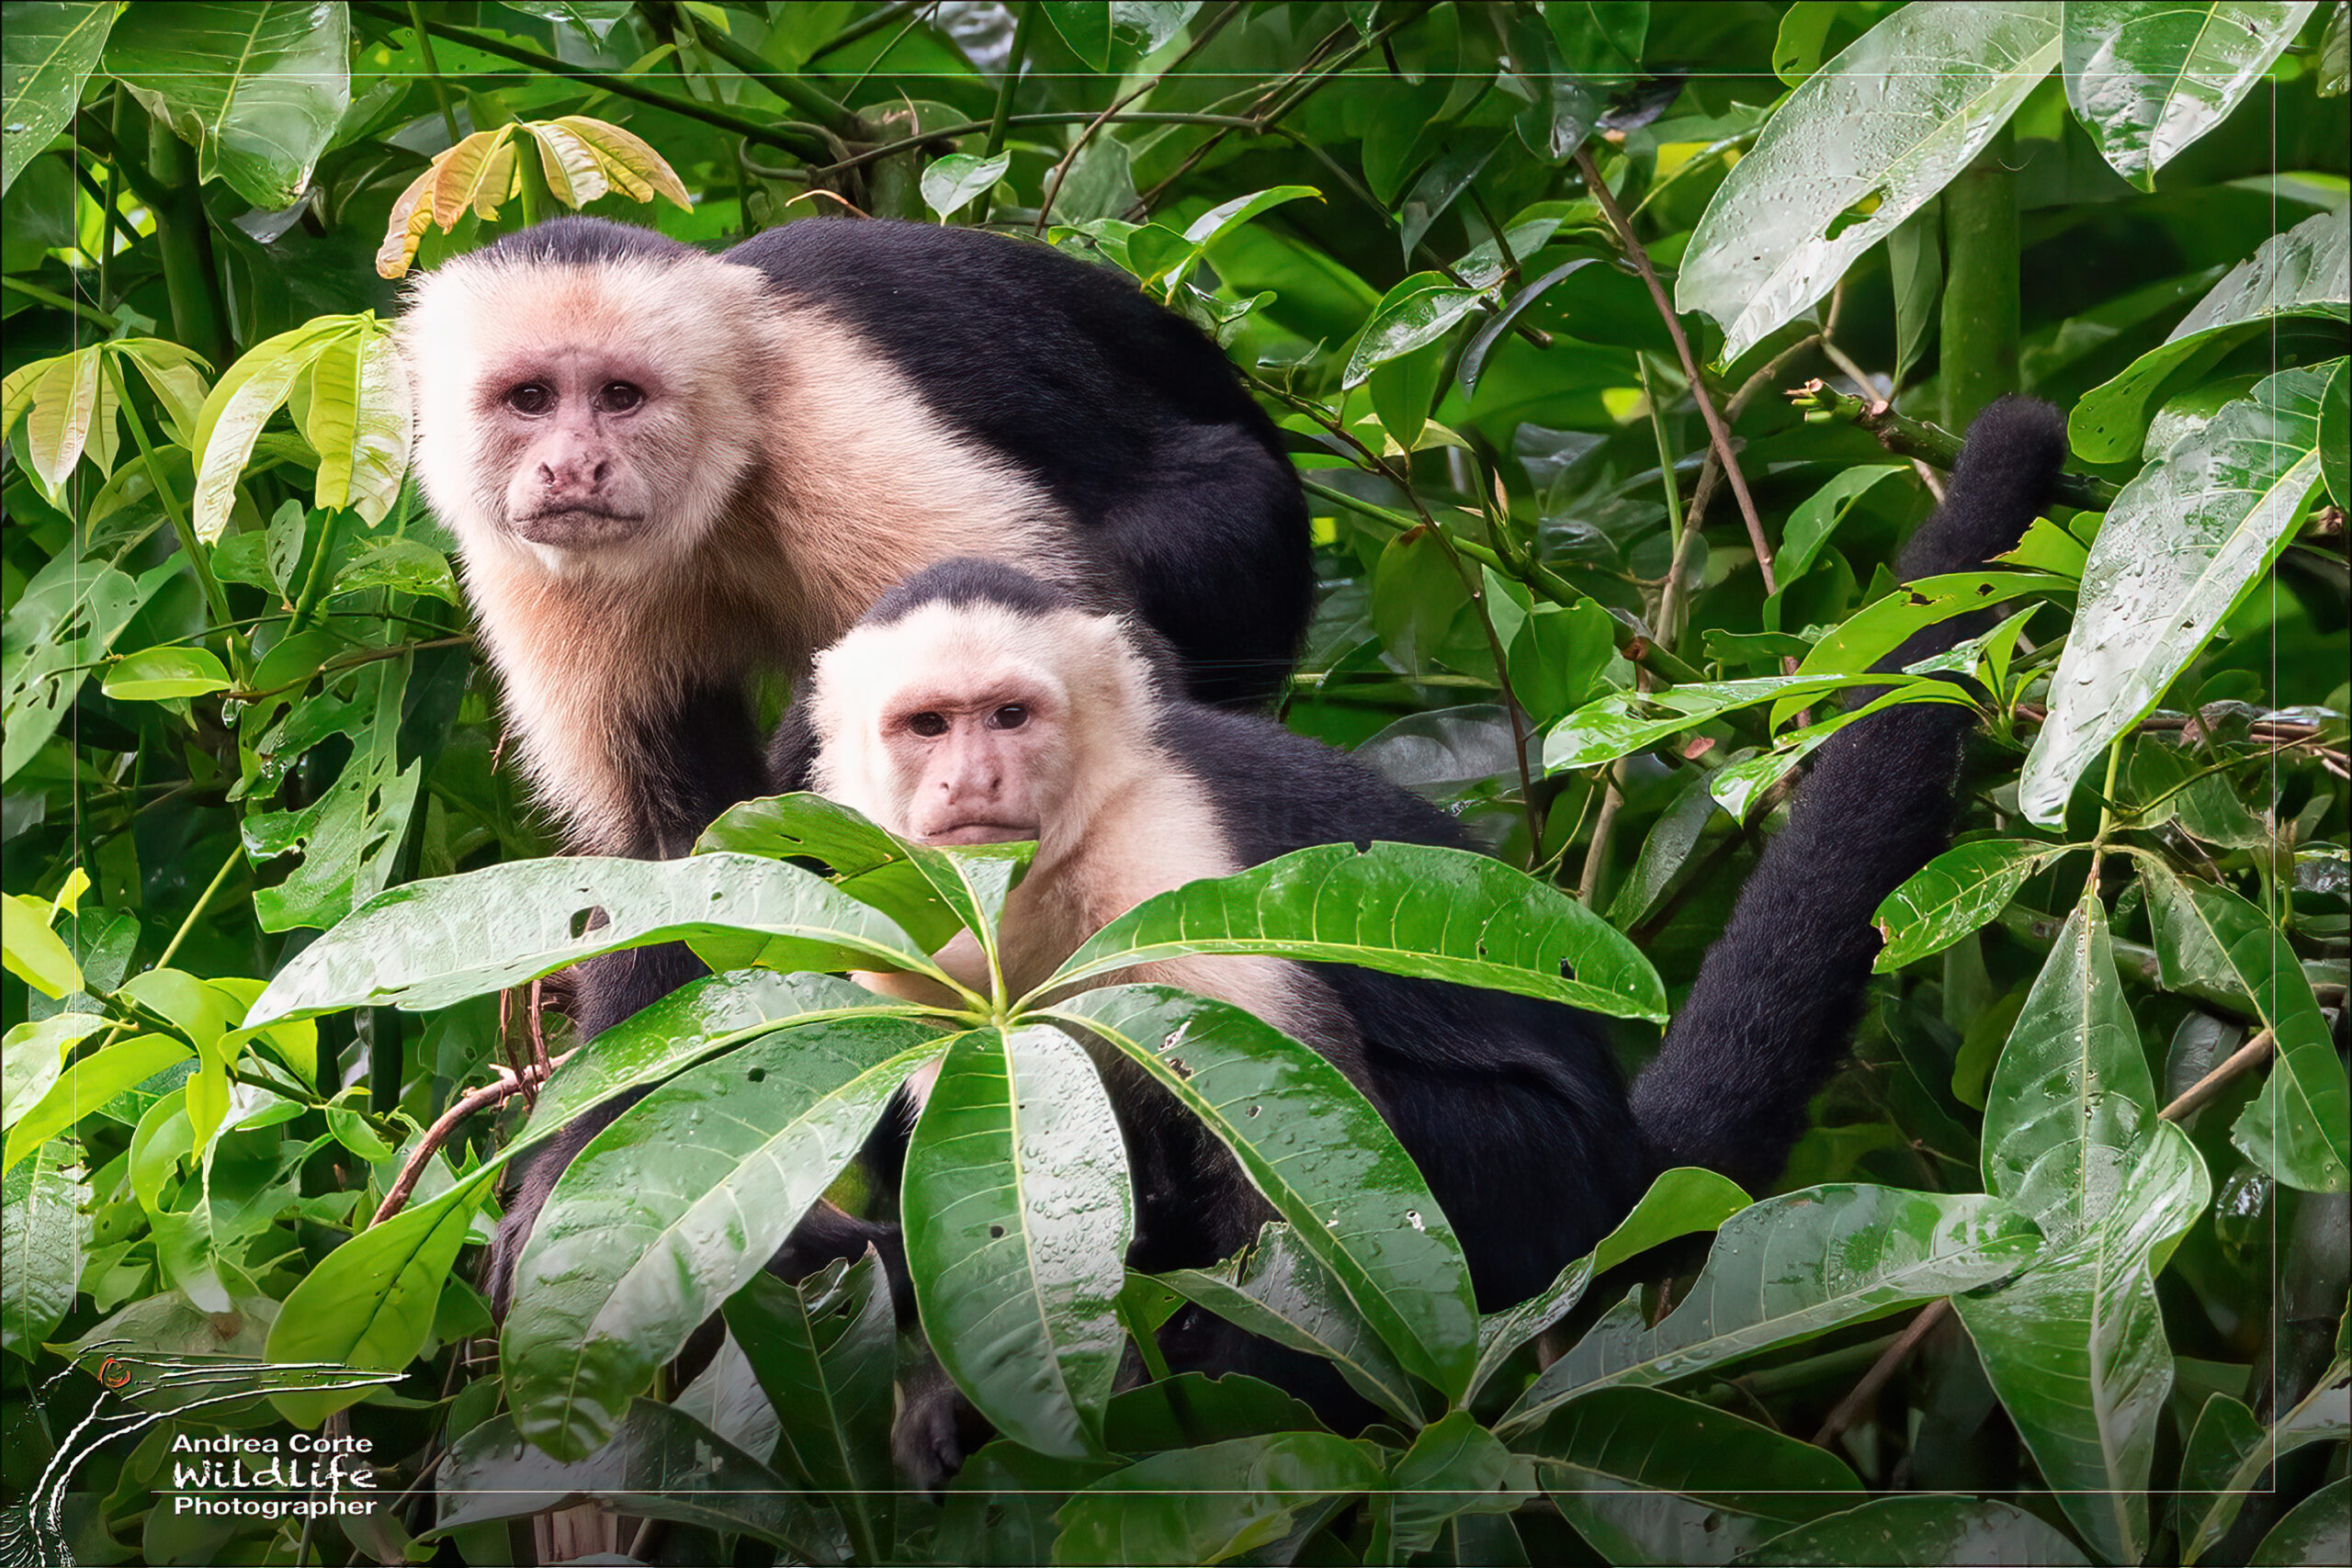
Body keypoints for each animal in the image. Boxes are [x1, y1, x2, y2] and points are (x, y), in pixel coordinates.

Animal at [776, 396, 2072, 1480]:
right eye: (925, 726)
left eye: (1010, 715)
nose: (973, 779)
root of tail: (1625, 1172)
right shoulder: (906, 916)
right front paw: (951, 1393)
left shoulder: (1168, 853)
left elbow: (1295, 1186)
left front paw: (1223, 1431)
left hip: (1534, 1187)